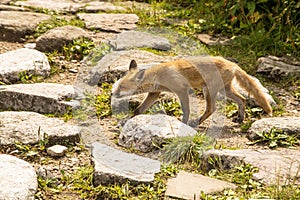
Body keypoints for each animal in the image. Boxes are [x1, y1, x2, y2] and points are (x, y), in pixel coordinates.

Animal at [111, 56, 274, 125]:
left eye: (122, 87)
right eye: (116, 85)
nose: (112, 94)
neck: (159, 75)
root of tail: (233, 64)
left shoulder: (182, 90)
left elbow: (186, 110)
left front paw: (184, 122)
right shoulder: (154, 93)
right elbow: (138, 110)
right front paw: (127, 121)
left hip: (209, 90)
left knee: (211, 109)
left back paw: (196, 122)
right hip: (225, 91)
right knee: (243, 99)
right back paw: (240, 118)